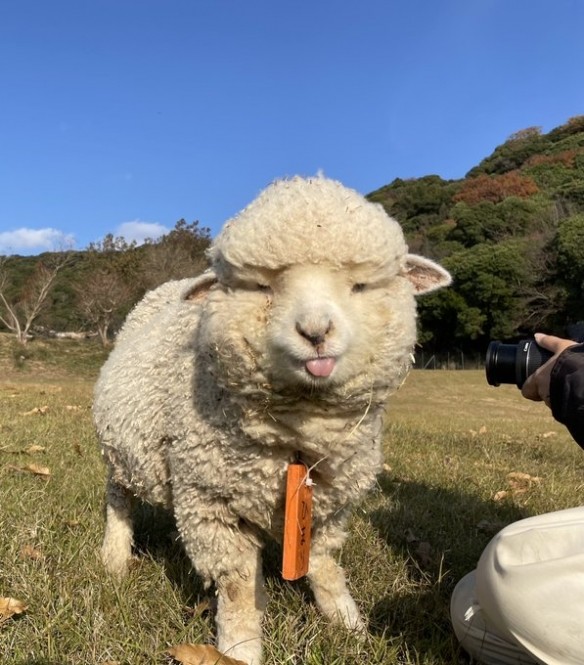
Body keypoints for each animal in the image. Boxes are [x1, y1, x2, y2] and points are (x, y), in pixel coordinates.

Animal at [94, 176, 452, 664]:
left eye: (360, 285)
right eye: (263, 287)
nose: (316, 332)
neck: (300, 434)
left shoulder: (332, 503)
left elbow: (323, 564)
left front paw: (350, 625)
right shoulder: (211, 502)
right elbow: (237, 589)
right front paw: (241, 649)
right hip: (121, 449)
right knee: (119, 500)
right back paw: (113, 558)